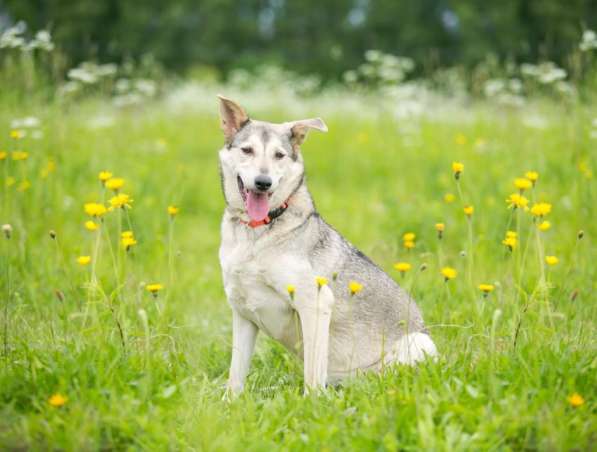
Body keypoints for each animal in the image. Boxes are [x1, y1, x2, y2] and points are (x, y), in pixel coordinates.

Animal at [217, 96, 436, 396]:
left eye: (279, 155)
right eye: (247, 150)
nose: (263, 183)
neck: (256, 233)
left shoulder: (315, 303)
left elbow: (312, 375)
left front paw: (311, 403)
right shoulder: (243, 313)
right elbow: (235, 377)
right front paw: (230, 403)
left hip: (417, 344)